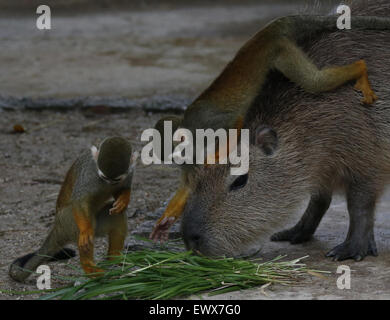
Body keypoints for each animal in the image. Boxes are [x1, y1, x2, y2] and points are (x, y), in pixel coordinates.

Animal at [9, 136, 136, 282]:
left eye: (116, 179)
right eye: (103, 177)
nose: (109, 183)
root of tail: (57, 226)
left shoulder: (130, 172)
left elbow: (121, 190)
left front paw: (124, 199)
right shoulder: (89, 174)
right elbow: (79, 201)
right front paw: (86, 230)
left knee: (116, 215)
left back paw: (115, 258)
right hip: (68, 221)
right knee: (81, 224)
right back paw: (90, 268)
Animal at [150, 13, 390, 241]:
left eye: (170, 151)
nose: (174, 160)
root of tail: (265, 32)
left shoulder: (206, 124)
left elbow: (235, 123)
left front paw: (219, 153)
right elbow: (188, 186)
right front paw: (165, 220)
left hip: (281, 51)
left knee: (315, 81)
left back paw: (360, 68)